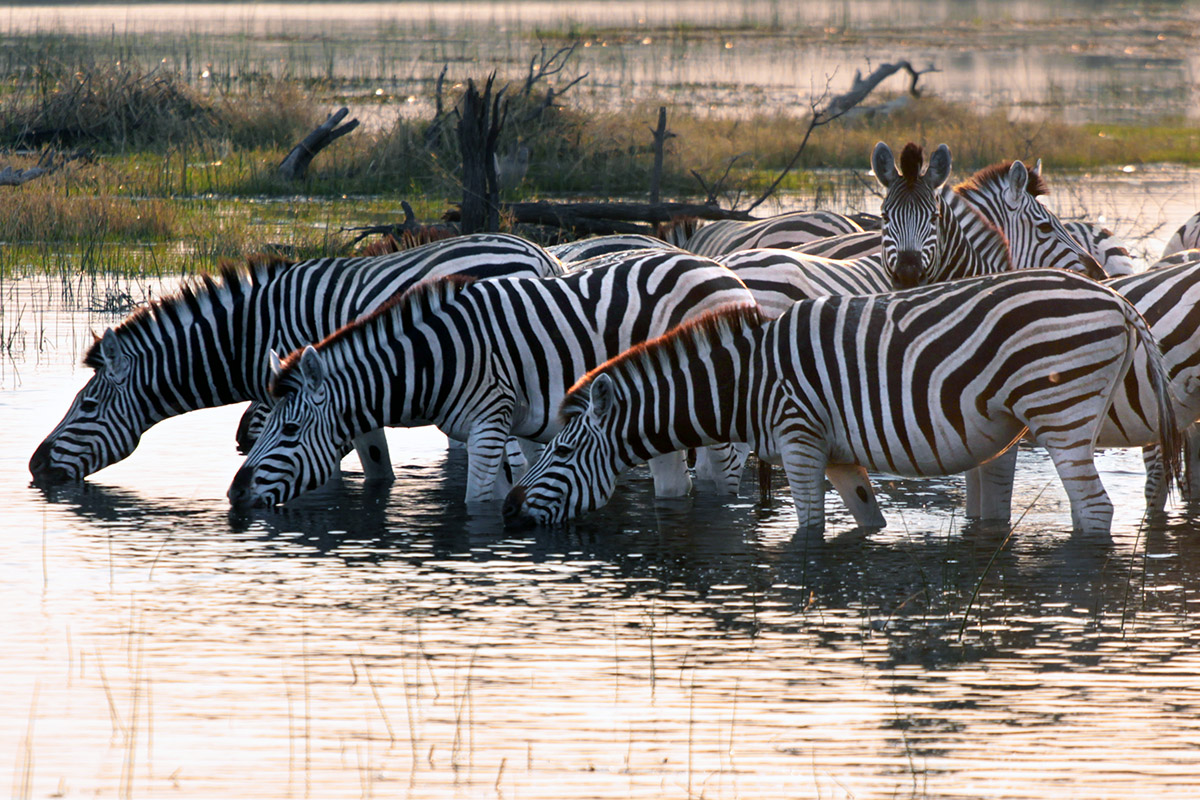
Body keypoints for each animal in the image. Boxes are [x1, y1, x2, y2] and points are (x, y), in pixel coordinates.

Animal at [225, 250, 768, 510]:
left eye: (289, 431)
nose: (234, 494)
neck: (436, 358)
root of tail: (726, 274)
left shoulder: (490, 421)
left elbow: (476, 502)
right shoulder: (502, 430)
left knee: (723, 483)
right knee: (679, 484)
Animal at [499, 271, 1180, 537]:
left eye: (563, 451)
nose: (506, 512)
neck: (744, 383)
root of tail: (1118, 301)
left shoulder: (798, 439)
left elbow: (807, 531)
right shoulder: (837, 454)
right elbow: (866, 522)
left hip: (1062, 413)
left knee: (1095, 510)